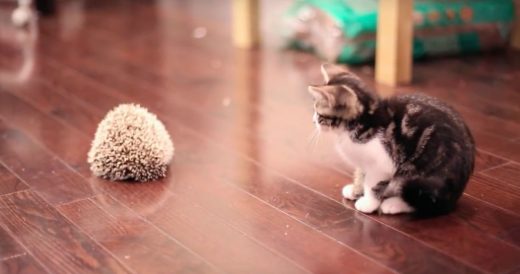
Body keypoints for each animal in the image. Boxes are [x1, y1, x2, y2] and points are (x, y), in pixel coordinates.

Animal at [308, 63, 476, 215]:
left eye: (319, 114)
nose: (313, 120)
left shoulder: (382, 163)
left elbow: (371, 183)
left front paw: (368, 203)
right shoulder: (364, 161)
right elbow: (361, 173)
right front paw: (356, 190)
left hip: (420, 173)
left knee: (425, 202)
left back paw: (393, 204)